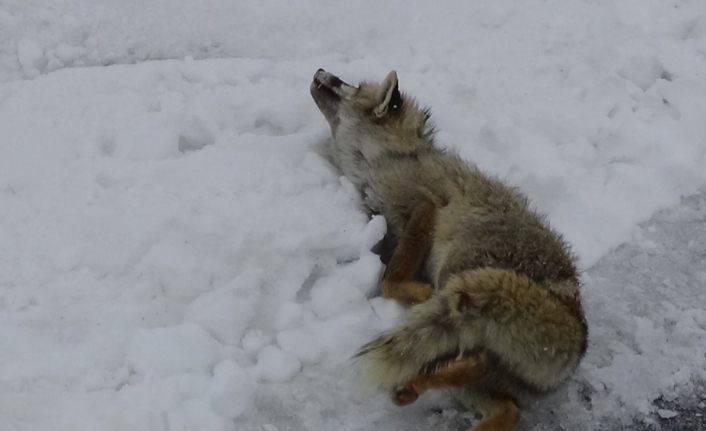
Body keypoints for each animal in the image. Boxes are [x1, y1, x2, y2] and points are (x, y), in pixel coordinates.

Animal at [310, 68, 584, 431]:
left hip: (457, 278)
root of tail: (579, 338)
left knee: (476, 358)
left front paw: (417, 290)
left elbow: (389, 280)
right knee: (505, 403)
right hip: (468, 348)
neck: (381, 161)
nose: (320, 71)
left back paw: (419, 378)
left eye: (348, 85)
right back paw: (417, 389)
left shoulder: (423, 208)